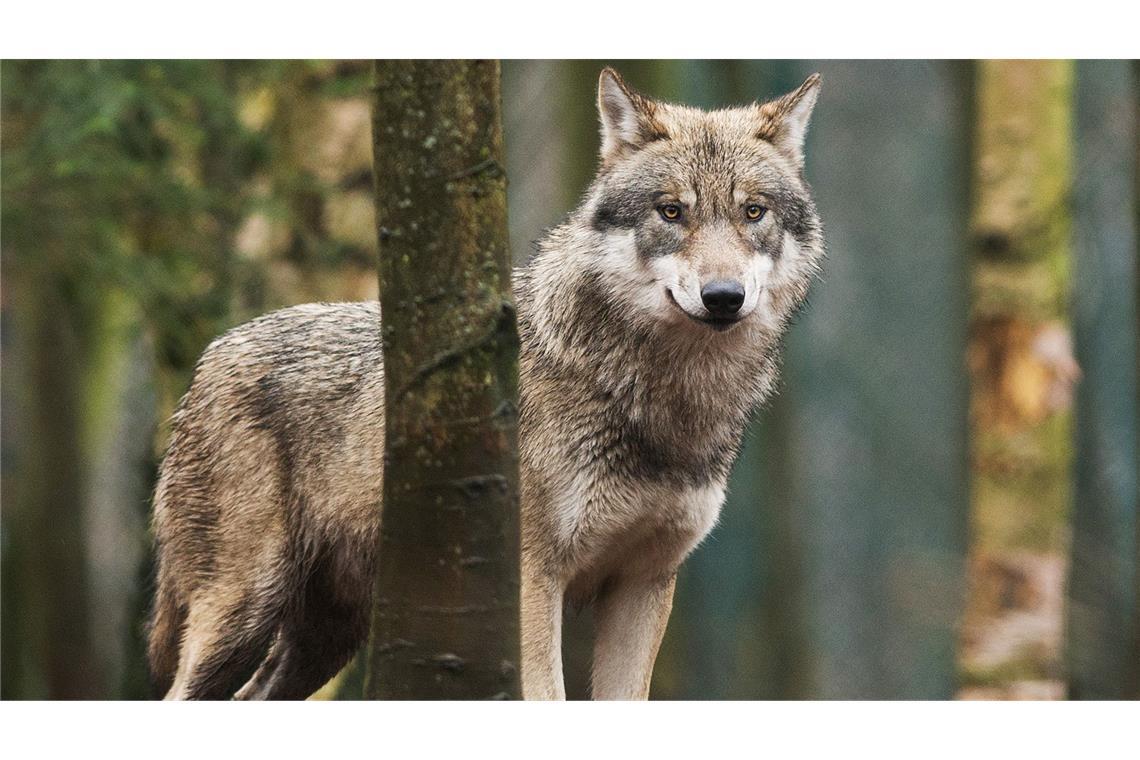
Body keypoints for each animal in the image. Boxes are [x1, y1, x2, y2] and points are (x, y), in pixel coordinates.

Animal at [148, 67, 824, 700]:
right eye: (672, 211)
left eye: (753, 212)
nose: (723, 297)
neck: (659, 398)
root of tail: (210, 356)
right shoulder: (533, 580)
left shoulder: (644, 583)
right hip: (244, 612)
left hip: (327, 636)